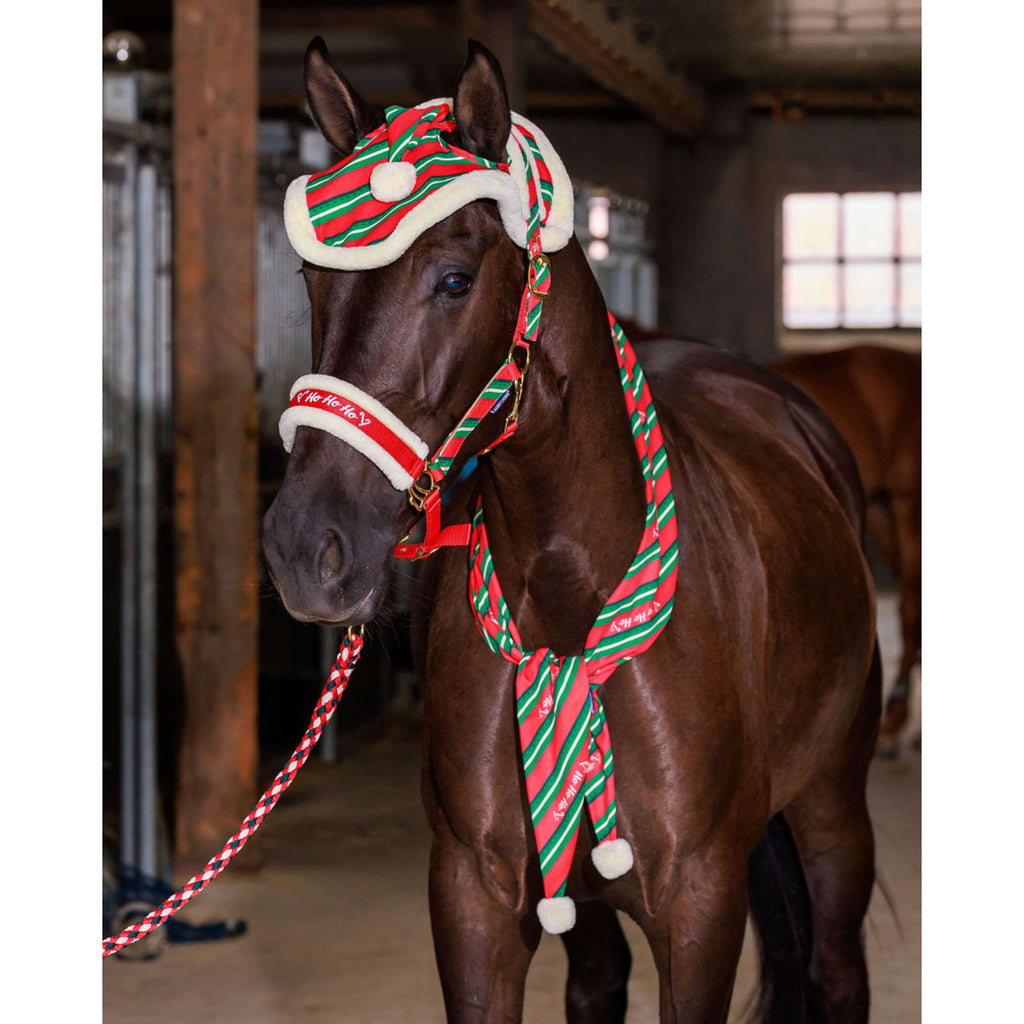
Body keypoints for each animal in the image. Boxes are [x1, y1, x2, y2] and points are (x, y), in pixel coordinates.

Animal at [262, 38, 879, 1024]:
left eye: (454, 279)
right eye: (313, 280)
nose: (305, 547)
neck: (569, 610)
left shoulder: (700, 908)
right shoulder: (474, 900)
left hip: (832, 811)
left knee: (836, 969)